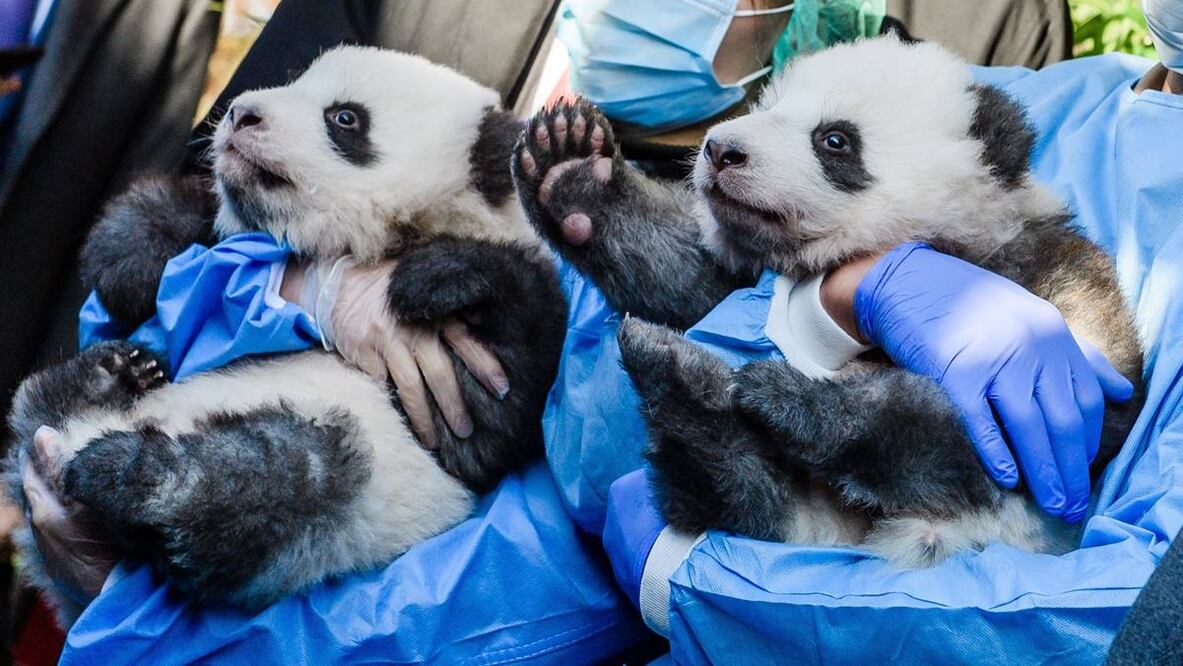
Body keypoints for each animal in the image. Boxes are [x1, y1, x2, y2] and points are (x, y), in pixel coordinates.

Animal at [6, 45, 566, 624]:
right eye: (298, 82)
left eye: (345, 118)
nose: (240, 113)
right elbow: (187, 224)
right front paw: (133, 260)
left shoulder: (445, 378)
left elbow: (491, 415)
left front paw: (438, 277)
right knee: (43, 404)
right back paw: (109, 375)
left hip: (343, 476)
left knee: (265, 484)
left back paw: (134, 474)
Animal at [511, 36, 1144, 566]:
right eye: (769, 106)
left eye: (834, 140)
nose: (720, 150)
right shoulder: (743, 272)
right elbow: (689, 282)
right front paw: (572, 175)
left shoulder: (1038, 271)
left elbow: (1025, 409)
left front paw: (792, 399)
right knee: (742, 500)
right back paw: (684, 391)